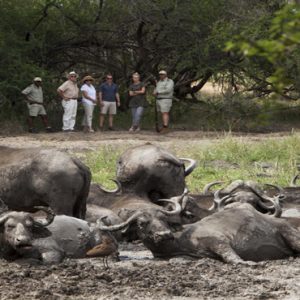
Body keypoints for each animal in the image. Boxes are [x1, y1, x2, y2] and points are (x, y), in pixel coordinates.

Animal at [99, 203, 300, 264]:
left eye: (164, 219)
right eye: (142, 223)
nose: (164, 234)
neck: (179, 241)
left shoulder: (218, 240)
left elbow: (230, 255)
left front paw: (246, 263)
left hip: (289, 233)